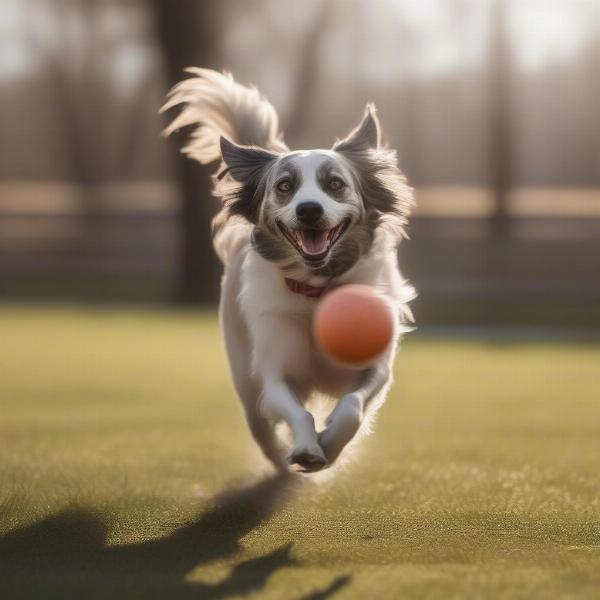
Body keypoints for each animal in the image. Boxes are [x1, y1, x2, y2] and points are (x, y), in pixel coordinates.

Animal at [164, 69, 418, 474]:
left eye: (335, 184)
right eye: (284, 186)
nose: (309, 209)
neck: (318, 293)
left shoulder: (377, 367)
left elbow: (352, 406)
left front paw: (330, 445)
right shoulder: (274, 371)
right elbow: (297, 411)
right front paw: (307, 449)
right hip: (243, 372)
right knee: (260, 426)